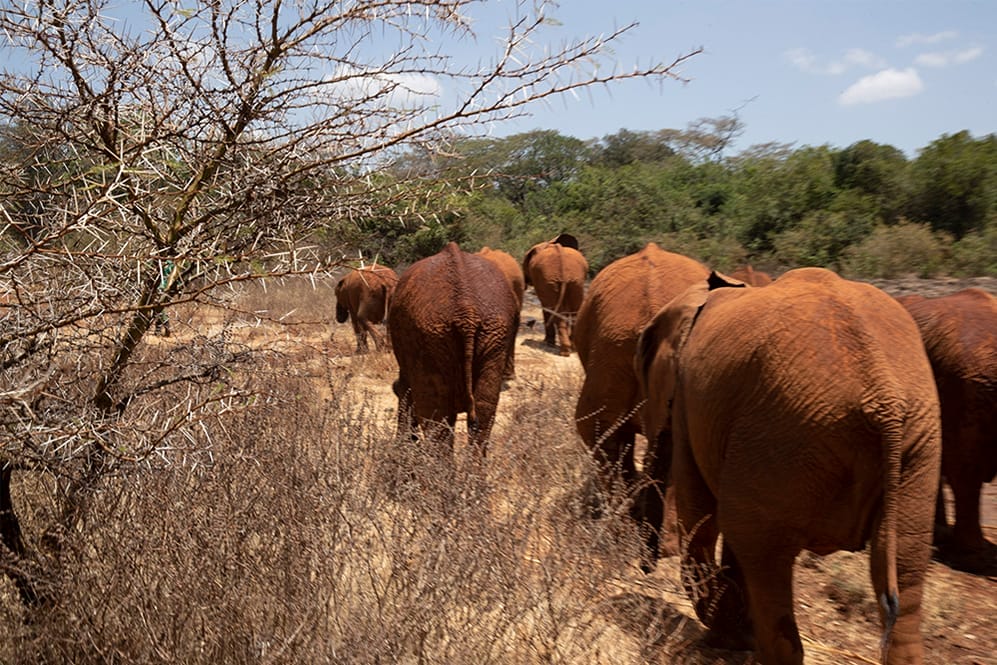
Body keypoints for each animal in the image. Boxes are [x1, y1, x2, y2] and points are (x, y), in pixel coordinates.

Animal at [634, 268, 941, 665]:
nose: (645, 566)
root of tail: (884, 398)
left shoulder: (691, 403)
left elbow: (701, 517)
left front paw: (729, 636)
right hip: (916, 445)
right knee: (905, 565)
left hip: (787, 429)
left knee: (764, 561)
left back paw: (747, 640)